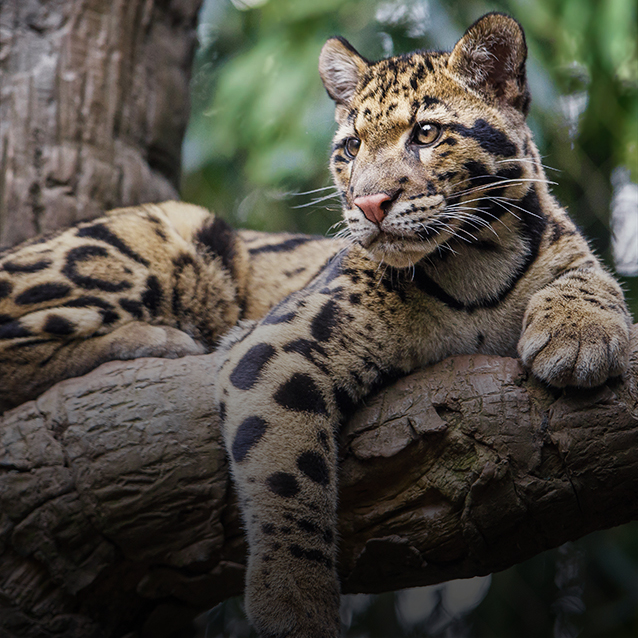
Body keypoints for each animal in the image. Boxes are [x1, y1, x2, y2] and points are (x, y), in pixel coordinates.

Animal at [0, 10, 632, 638]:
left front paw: (579, 336)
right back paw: (161, 340)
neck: (475, 262)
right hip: (162, 237)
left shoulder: (568, 250)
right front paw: (294, 600)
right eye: (350, 147)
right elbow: (286, 472)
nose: (369, 204)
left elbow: (593, 277)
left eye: (426, 134)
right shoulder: (282, 344)